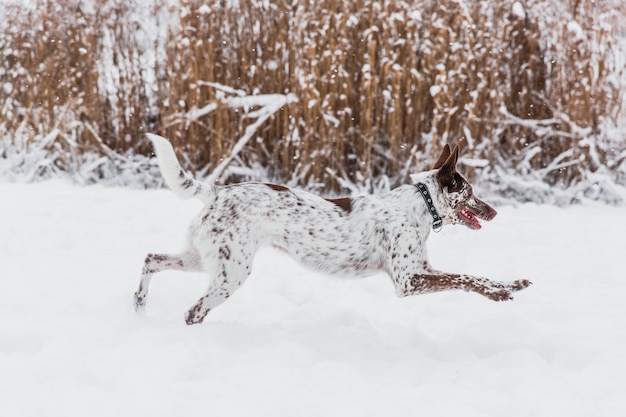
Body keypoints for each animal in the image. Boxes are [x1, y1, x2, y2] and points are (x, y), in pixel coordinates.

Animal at [134, 133, 528, 322]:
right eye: (470, 192)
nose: (494, 212)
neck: (422, 202)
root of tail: (216, 191)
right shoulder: (409, 282)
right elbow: (464, 278)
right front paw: (499, 293)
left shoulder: (421, 269)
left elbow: (475, 275)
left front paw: (511, 284)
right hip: (232, 272)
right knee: (193, 312)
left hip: (205, 260)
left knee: (151, 258)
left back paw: (139, 307)